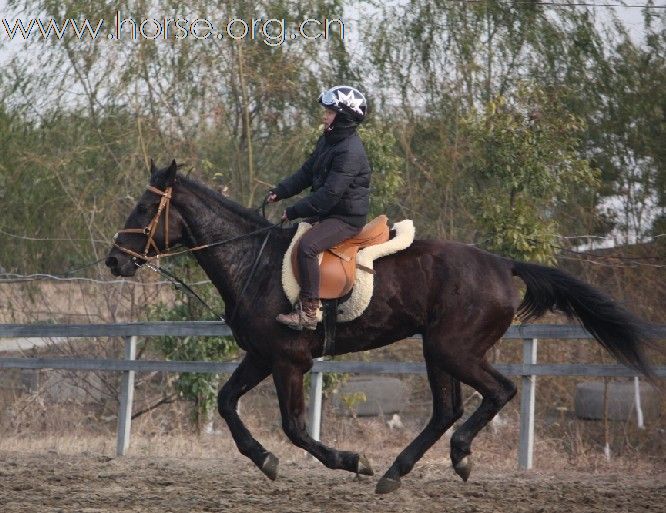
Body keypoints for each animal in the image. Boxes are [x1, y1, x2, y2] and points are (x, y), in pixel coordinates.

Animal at [105, 160, 652, 492]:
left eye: (143, 207)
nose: (114, 261)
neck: (253, 261)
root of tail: (503, 264)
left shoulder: (288, 360)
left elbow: (294, 427)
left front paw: (349, 461)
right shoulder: (262, 356)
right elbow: (226, 404)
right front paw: (264, 460)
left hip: (453, 349)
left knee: (497, 392)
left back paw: (454, 457)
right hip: (438, 351)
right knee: (447, 409)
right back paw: (397, 472)